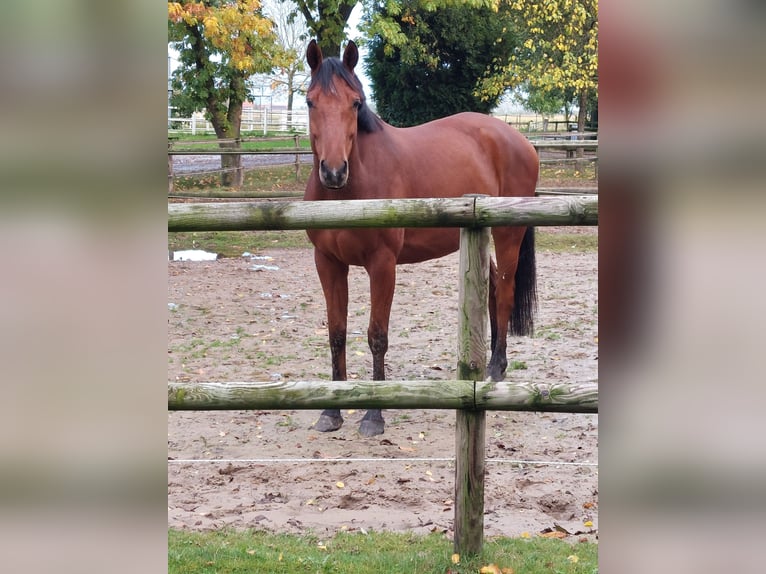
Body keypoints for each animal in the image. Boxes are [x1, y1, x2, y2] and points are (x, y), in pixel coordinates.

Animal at [304, 40, 536, 436]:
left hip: (508, 234)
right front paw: (332, 411)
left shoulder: (382, 265)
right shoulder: (327, 263)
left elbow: (376, 336)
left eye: (355, 103)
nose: (333, 171)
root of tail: (520, 139)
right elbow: (336, 332)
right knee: (492, 289)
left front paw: (374, 415)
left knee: (505, 292)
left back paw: (495, 369)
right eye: (309, 102)